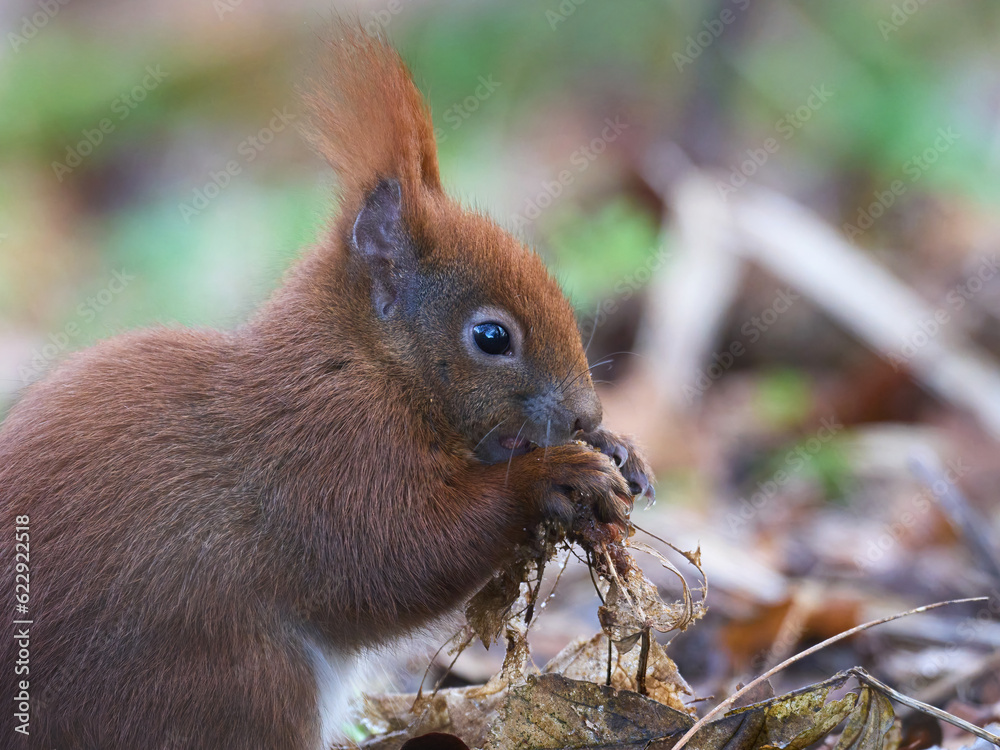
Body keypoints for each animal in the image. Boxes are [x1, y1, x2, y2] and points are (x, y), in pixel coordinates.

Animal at [0, 26, 652, 750]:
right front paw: (558, 476)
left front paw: (618, 449)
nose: (583, 416)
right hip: (245, 682)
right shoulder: (325, 449)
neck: (364, 360)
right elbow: (395, 555)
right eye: (491, 337)